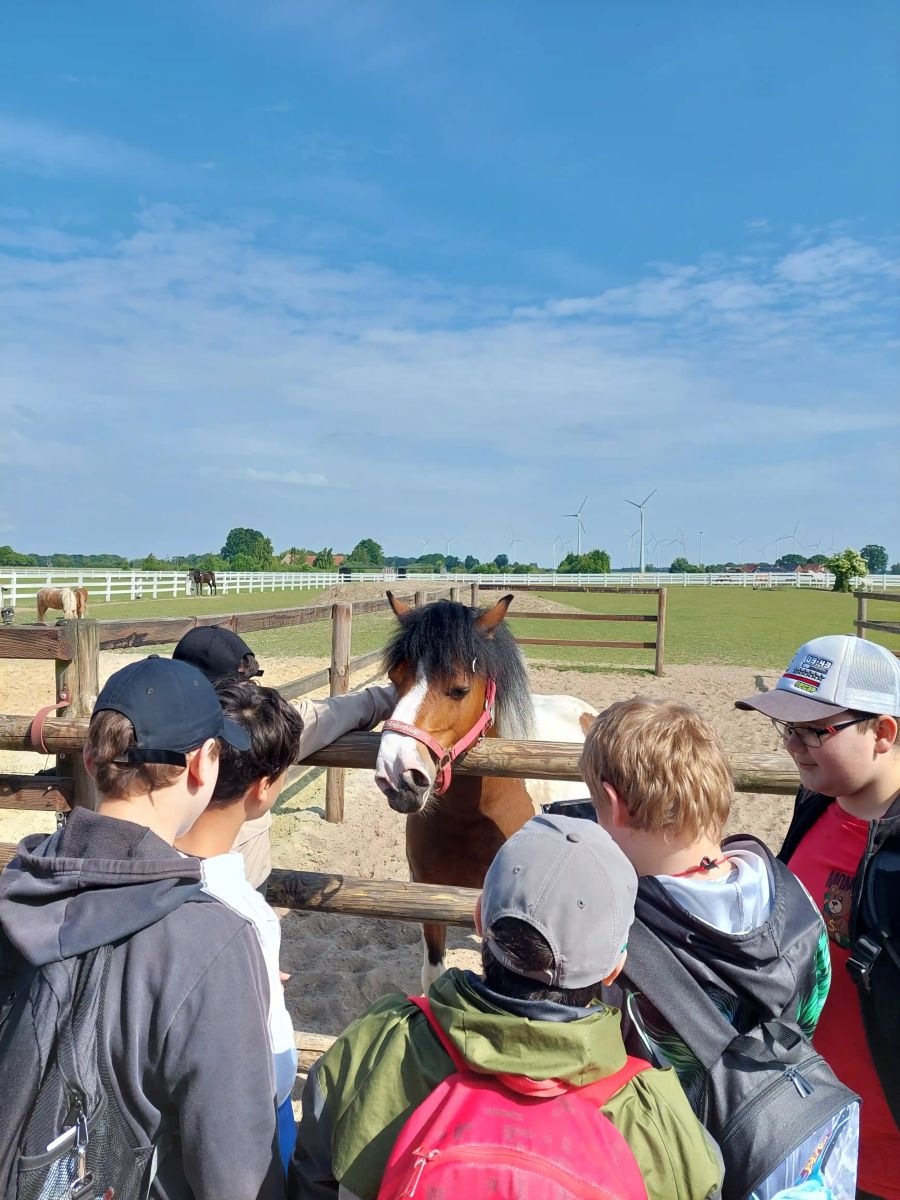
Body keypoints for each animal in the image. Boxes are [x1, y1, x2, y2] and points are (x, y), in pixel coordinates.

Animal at [375, 592, 599, 991]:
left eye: (460, 689)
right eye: (394, 679)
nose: (398, 774)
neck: (470, 817)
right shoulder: (429, 896)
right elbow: (433, 974)